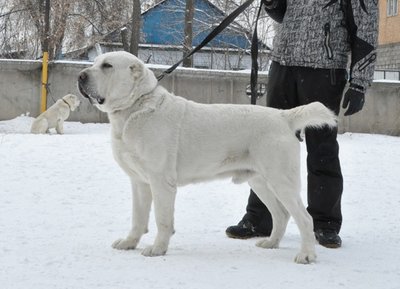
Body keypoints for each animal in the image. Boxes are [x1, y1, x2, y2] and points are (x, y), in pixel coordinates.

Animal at [76, 50, 336, 262]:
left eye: (107, 66)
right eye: (95, 63)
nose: (80, 76)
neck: (135, 107)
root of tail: (284, 116)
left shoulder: (161, 182)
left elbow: (162, 219)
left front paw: (158, 249)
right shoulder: (139, 182)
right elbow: (138, 218)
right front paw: (129, 243)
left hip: (281, 180)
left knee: (305, 218)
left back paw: (306, 255)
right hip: (260, 181)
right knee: (281, 214)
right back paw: (271, 243)